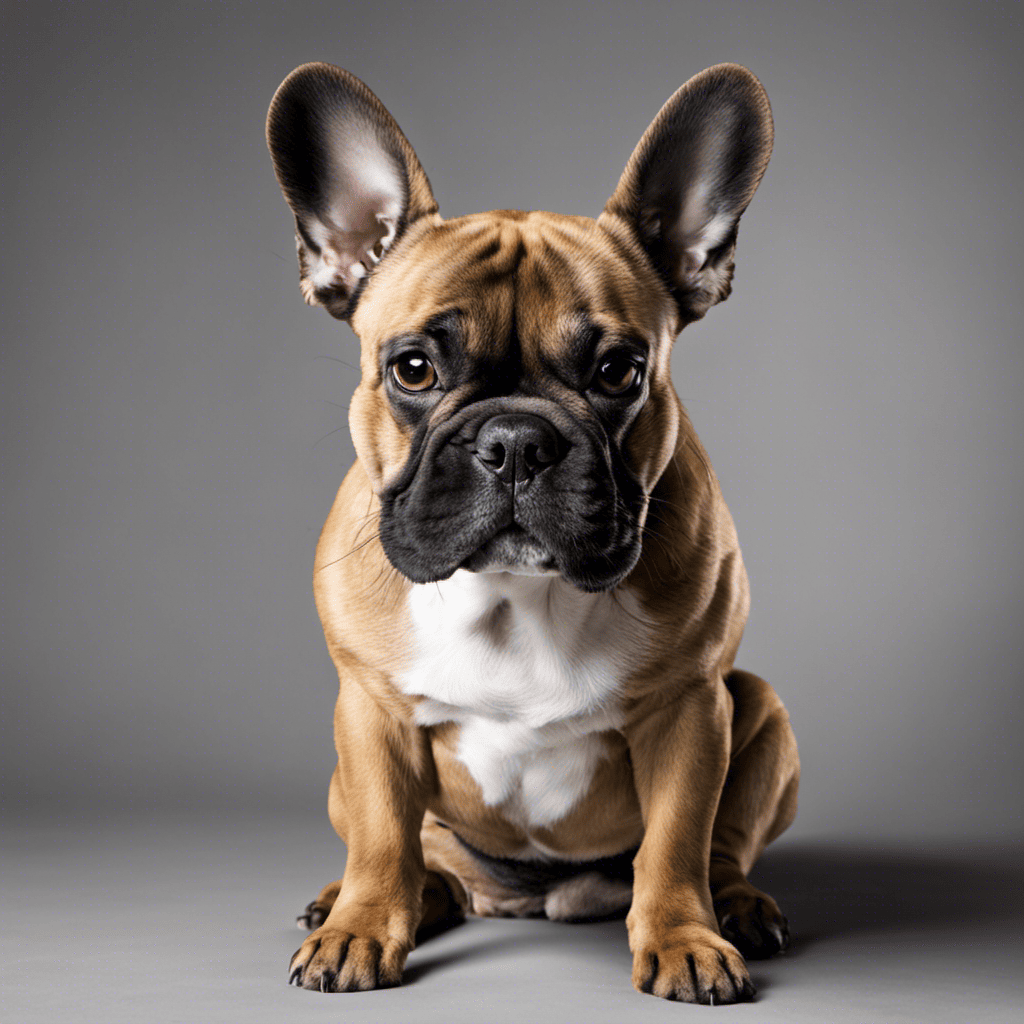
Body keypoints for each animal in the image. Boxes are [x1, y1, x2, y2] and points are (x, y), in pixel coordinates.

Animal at [266, 59, 798, 1003]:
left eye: (619, 371)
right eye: (413, 368)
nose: (516, 440)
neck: (516, 594)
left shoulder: (692, 709)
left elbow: (677, 844)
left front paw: (684, 941)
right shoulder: (368, 710)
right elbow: (381, 836)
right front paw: (360, 927)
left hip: (761, 708)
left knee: (723, 848)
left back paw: (737, 908)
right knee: (413, 852)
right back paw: (382, 899)